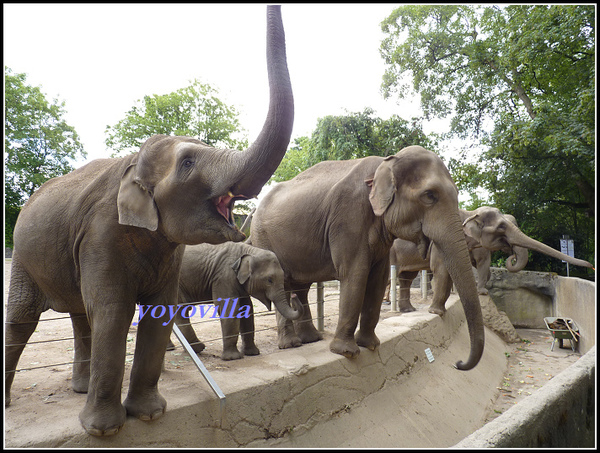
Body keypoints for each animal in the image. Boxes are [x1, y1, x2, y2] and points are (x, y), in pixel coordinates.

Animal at [166, 242, 302, 358]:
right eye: (269, 280)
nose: (294, 295)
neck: (248, 251)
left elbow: (247, 309)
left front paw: (252, 353)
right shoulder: (223, 277)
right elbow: (230, 309)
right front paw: (233, 358)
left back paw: (173, 348)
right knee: (181, 311)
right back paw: (199, 348)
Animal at [251, 145, 486, 370]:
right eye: (430, 195)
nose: (458, 363)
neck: (387, 162)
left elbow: (378, 278)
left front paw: (371, 345)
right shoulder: (348, 217)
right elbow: (356, 273)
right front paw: (347, 352)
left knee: (301, 287)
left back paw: (311, 339)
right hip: (263, 237)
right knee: (283, 282)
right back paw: (292, 344)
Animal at [386, 206, 592, 314]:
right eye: (501, 228)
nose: (592, 267)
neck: (470, 213)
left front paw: (479, 293)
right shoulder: (444, 242)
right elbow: (443, 269)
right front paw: (437, 312)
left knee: (407, 278)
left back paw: (408, 310)